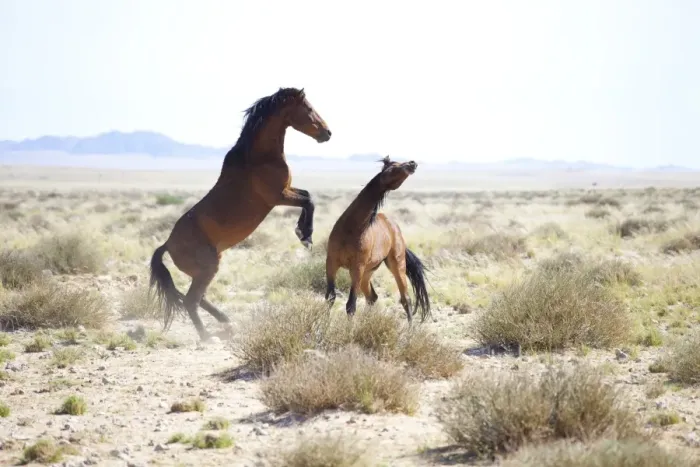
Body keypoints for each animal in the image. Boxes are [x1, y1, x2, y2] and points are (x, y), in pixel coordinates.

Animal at [149, 87, 332, 341]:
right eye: (308, 108)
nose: (327, 133)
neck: (259, 157)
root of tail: (167, 244)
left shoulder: (287, 191)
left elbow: (308, 195)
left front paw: (302, 233)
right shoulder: (278, 197)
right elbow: (310, 201)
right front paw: (305, 236)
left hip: (205, 270)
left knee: (198, 298)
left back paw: (227, 322)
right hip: (207, 268)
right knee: (191, 300)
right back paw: (207, 337)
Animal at [324, 156, 431, 323]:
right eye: (393, 165)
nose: (412, 163)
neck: (352, 228)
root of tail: (394, 227)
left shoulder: (357, 268)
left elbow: (351, 305)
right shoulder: (331, 263)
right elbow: (330, 298)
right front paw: (322, 325)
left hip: (396, 265)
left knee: (405, 299)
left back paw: (410, 329)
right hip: (368, 272)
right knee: (372, 297)